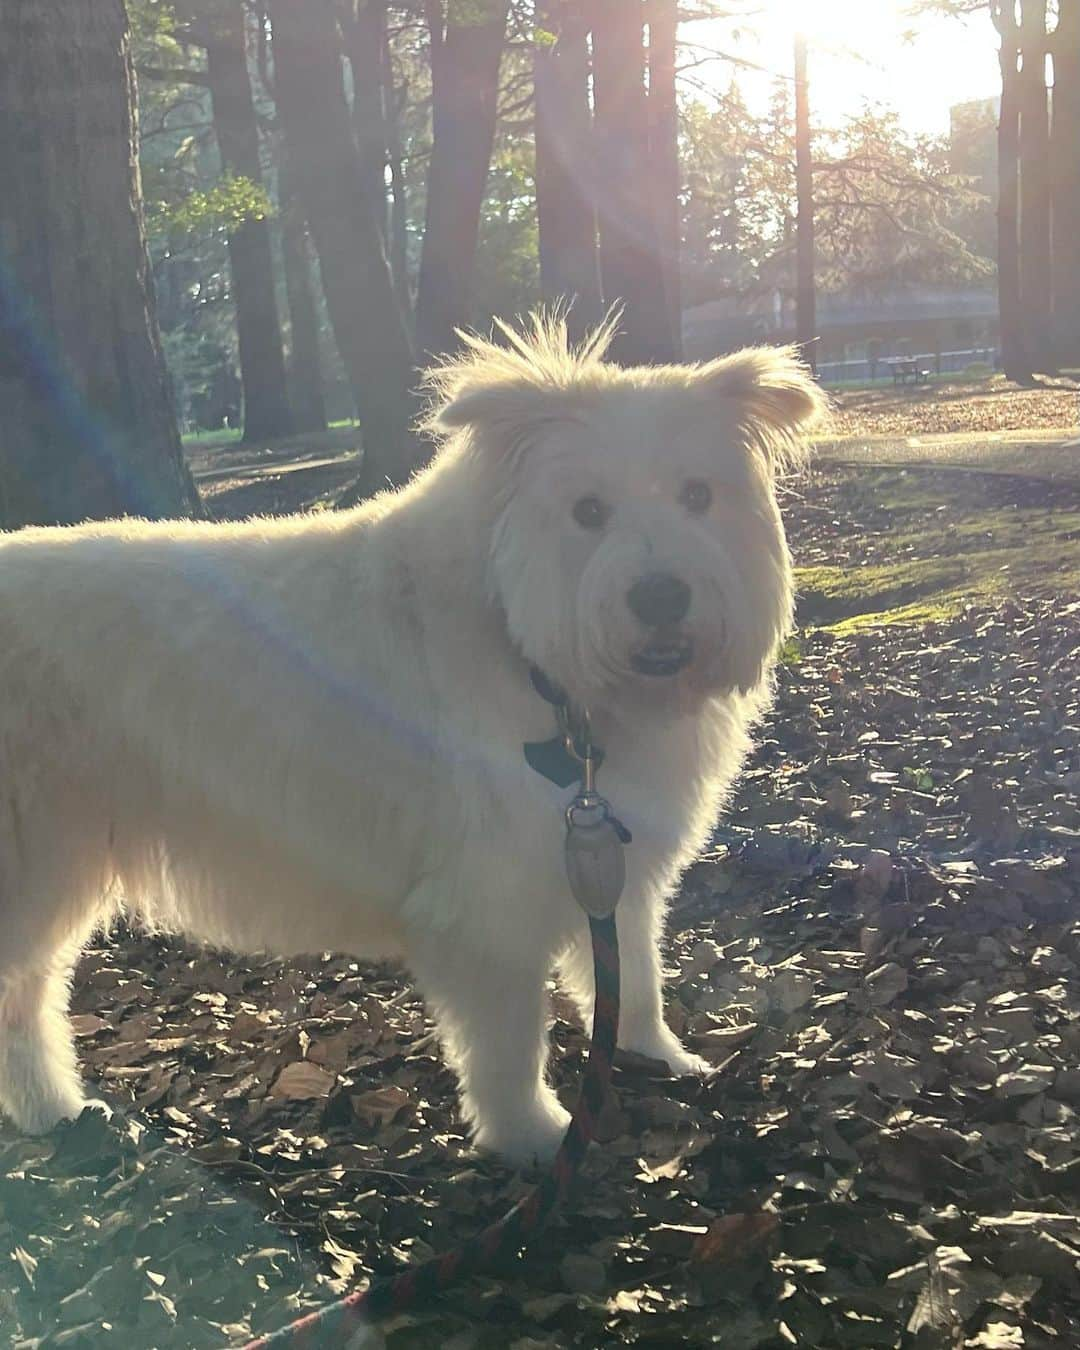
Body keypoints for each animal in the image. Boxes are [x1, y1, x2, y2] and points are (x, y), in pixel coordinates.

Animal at [0, 315, 820, 1161]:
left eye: (699, 496)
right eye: (588, 510)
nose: (660, 596)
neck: (531, 654)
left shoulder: (609, 868)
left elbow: (633, 975)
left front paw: (657, 1057)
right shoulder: (490, 909)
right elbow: (509, 1043)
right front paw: (533, 1135)